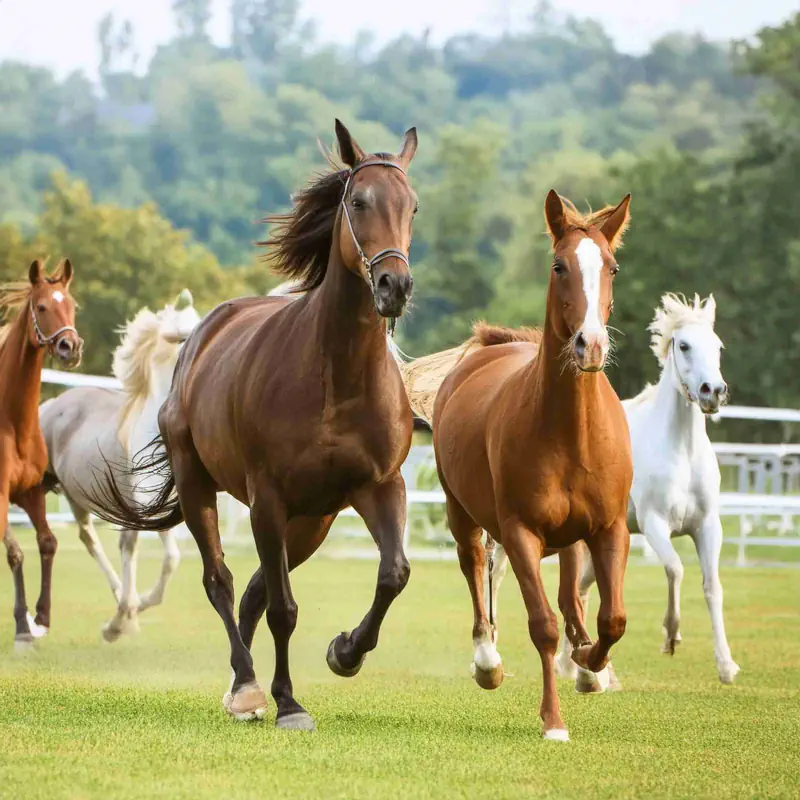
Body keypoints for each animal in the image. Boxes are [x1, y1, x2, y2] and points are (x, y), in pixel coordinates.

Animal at [38, 290, 202, 640]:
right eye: (184, 335)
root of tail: (53, 404)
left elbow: (169, 557)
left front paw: (134, 610)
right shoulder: (141, 507)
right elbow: (143, 551)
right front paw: (119, 622)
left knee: (90, 539)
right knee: (88, 540)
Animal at [89, 120, 418, 732]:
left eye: (412, 206)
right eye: (358, 202)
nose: (394, 286)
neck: (336, 377)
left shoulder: (378, 487)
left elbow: (393, 574)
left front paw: (345, 652)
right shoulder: (268, 497)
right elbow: (283, 609)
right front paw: (287, 702)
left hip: (311, 522)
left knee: (254, 593)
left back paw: (241, 686)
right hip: (202, 485)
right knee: (222, 581)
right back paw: (245, 686)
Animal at [404, 191, 636, 740]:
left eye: (612, 267)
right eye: (559, 266)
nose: (590, 345)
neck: (569, 432)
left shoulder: (610, 528)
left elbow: (611, 618)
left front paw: (591, 663)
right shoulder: (520, 531)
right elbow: (542, 625)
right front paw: (553, 720)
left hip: (571, 535)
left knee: (571, 593)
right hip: (460, 511)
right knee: (475, 567)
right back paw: (487, 660)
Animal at [488, 294, 736, 688]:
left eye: (718, 346)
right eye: (683, 345)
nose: (713, 392)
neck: (679, 450)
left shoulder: (708, 526)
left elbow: (712, 587)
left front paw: (726, 665)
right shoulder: (654, 525)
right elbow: (675, 569)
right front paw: (671, 635)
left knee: (580, 588)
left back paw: (579, 666)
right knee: (496, 575)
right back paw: (495, 655)